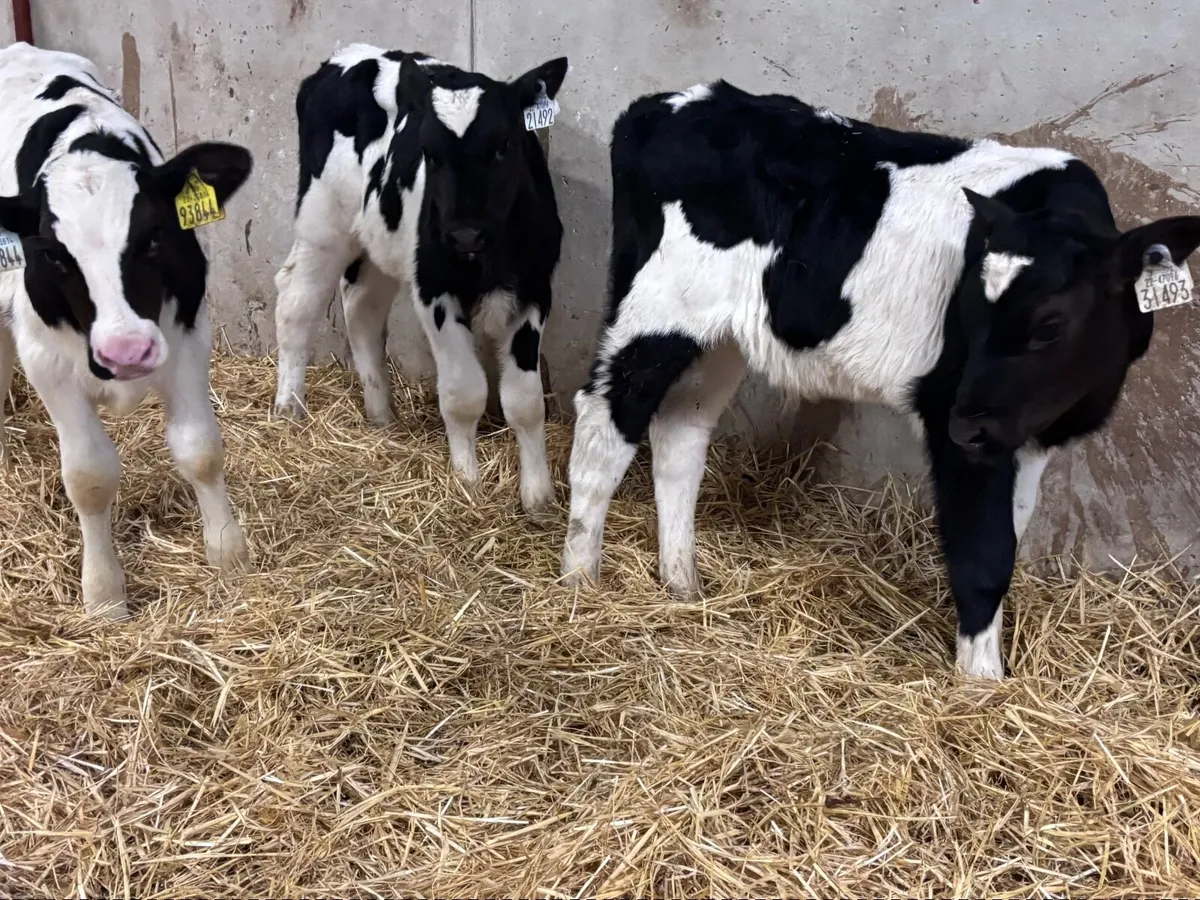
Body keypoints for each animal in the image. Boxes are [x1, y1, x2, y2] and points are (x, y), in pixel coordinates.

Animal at [0, 43, 253, 619]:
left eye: (154, 236)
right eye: (52, 254)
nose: (127, 351)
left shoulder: (188, 333)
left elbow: (200, 448)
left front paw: (228, 555)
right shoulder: (46, 361)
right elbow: (90, 476)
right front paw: (103, 595)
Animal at [272, 45, 568, 520]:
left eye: (504, 144)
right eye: (428, 151)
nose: (464, 233)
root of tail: (349, 55)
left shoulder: (536, 290)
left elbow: (524, 401)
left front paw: (538, 499)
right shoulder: (433, 289)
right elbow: (464, 394)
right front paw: (467, 484)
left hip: (377, 239)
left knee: (362, 306)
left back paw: (381, 415)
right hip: (323, 223)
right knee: (296, 301)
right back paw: (289, 409)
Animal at [559, 80, 1200, 679]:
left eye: (1050, 325)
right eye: (969, 310)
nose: (966, 423)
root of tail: (669, 102)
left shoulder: (1023, 433)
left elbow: (1009, 535)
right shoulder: (951, 415)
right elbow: (982, 553)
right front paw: (982, 685)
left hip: (719, 336)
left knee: (680, 432)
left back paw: (683, 585)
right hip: (656, 308)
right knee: (604, 421)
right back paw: (579, 582)